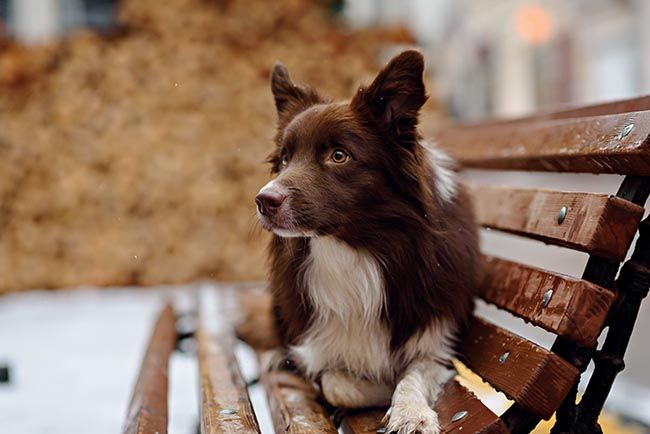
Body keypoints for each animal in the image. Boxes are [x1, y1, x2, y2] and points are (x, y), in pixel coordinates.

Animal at [256, 50, 478, 434]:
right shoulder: (318, 345)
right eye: (285, 158)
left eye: (338, 155)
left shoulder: (434, 338)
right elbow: (334, 381)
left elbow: (414, 374)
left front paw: (410, 411)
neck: (355, 249)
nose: (263, 200)